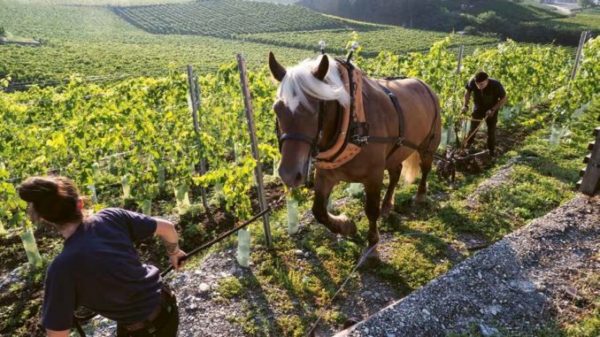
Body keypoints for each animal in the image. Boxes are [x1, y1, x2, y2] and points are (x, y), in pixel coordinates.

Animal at [270, 51, 442, 252]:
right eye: (277, 109)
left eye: (314, 110)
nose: (289, 175)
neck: (353, 125)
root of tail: (425, 85)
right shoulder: (325, 175)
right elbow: (318, 211)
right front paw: (346, 226)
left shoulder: (374, 176)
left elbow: (371, 210)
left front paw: (373, 243)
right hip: (395, 152)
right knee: (395, 173)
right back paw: (387, 205)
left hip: (428, 146)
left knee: (425, 168)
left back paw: (420, 195)